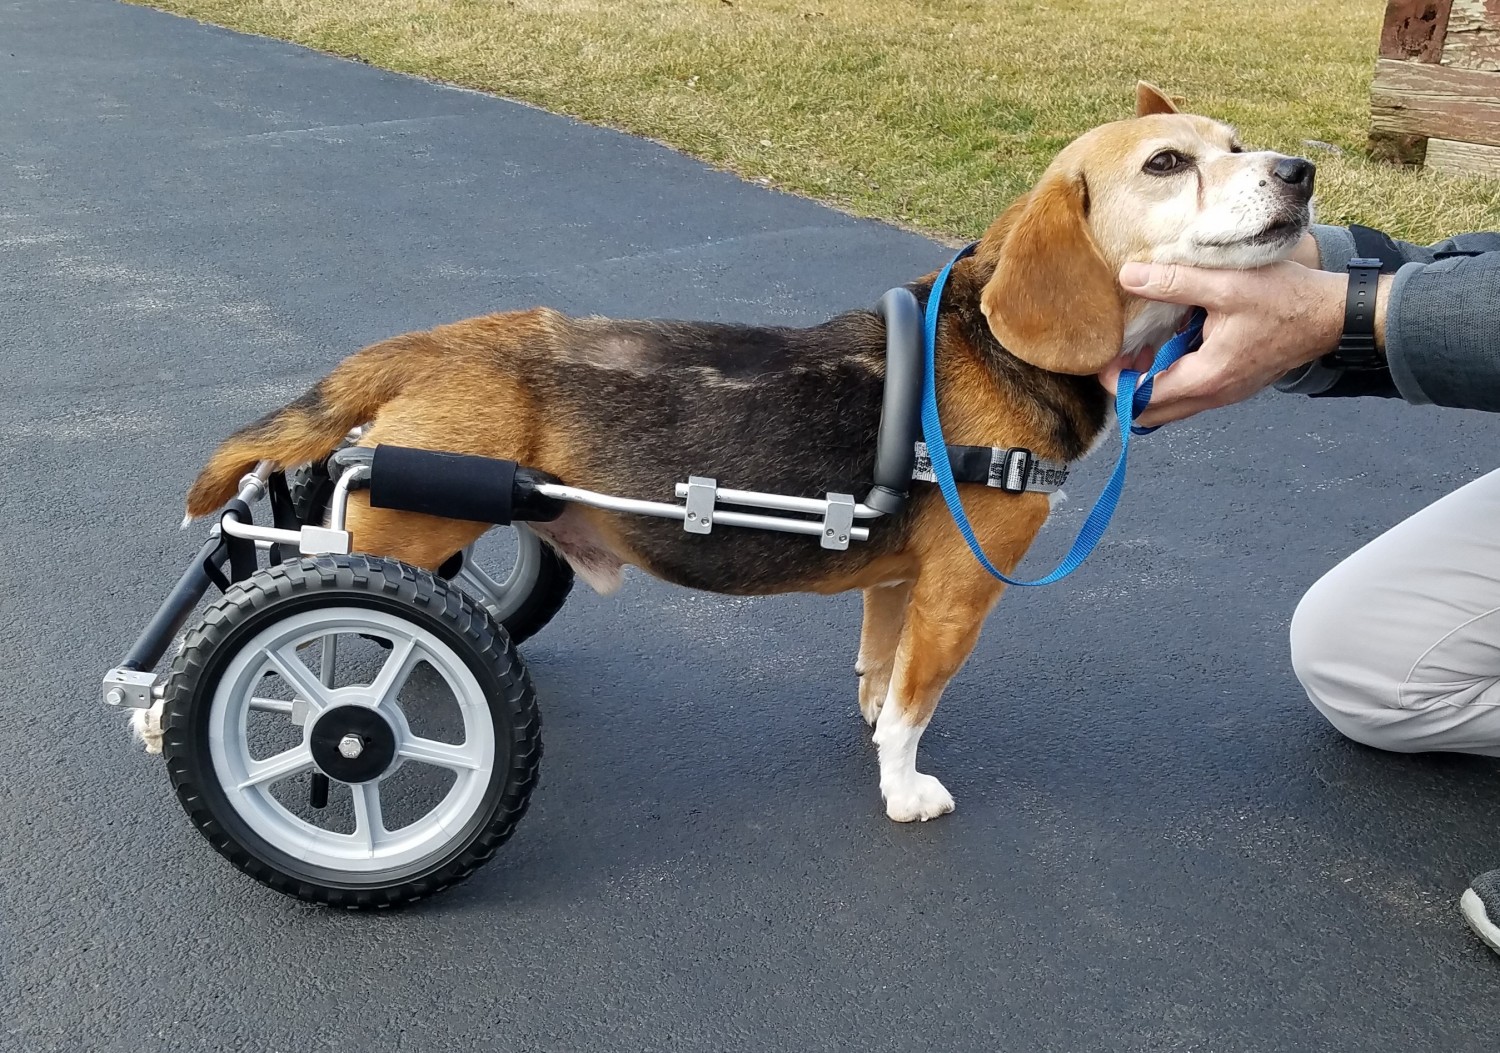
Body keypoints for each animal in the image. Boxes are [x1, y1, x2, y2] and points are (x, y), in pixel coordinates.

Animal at [181, 84, 1314, 828]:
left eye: (1236, 141)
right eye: (1167, 165)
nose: (1303, 170)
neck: (991, 338)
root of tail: (433, 341)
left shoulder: (902, 584)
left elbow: (882, 678)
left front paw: (877, 732)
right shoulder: (962, 590)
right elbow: (916, 704)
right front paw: (905, 790)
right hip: (404, 528)